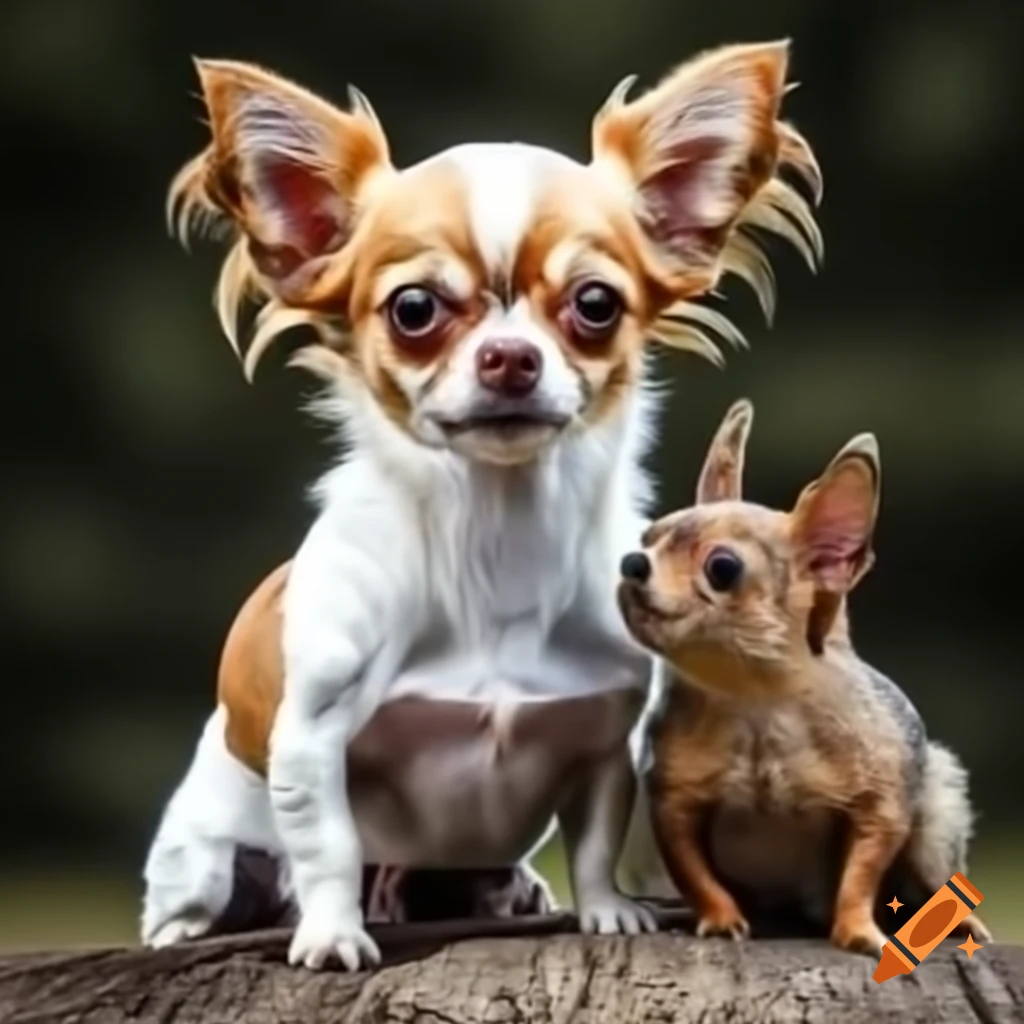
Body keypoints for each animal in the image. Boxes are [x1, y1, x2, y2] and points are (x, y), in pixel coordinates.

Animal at [616, 399, 991, 956]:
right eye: (648, 538)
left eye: (722, 568)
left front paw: (859, 933)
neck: (755, 700)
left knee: (931, 877)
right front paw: (721, 920)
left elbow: (861, 875)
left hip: (934, 821)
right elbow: (695, 872)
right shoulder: (674, 795)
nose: (631, 563)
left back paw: (962, 924)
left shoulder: (883, 797)